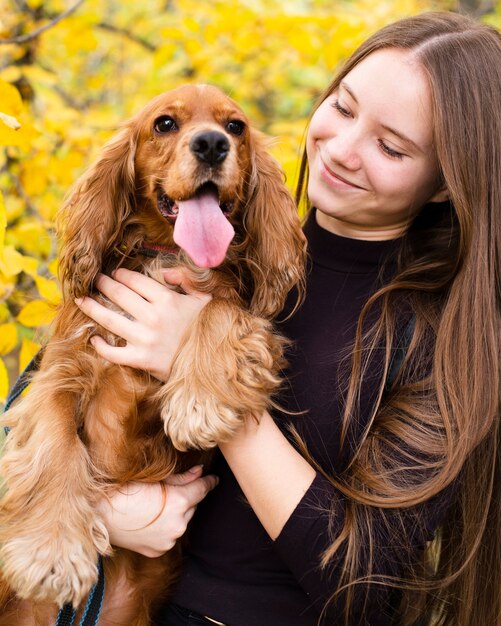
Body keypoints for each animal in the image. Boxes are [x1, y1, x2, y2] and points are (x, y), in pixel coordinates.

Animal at [0, 84, 304, 624]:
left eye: (235, 127)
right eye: (165, 124)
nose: (211, 144)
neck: (169, 255)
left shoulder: (247, 321)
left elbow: (220, 310)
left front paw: (199, 402)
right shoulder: (61, 370)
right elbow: (56, 443)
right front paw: (51, 551)